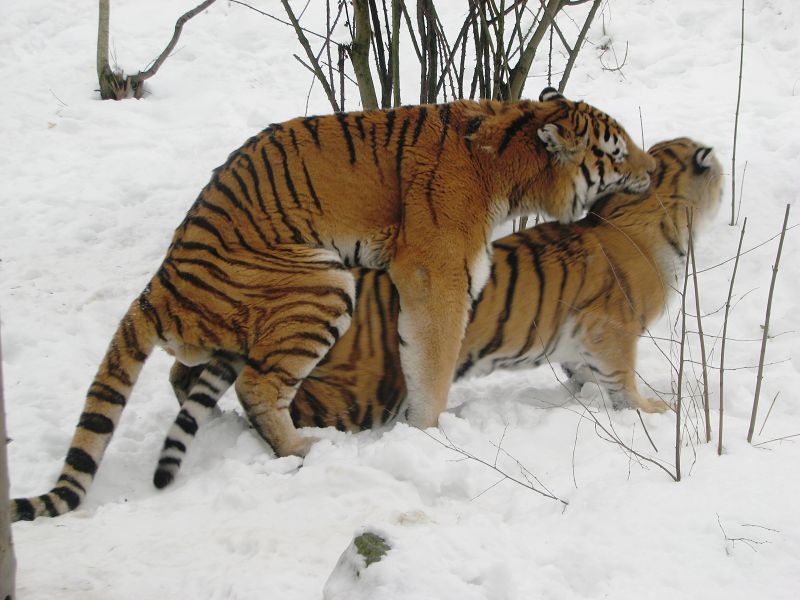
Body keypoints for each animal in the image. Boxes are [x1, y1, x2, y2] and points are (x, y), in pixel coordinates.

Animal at [11, 88, 654, 521]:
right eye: (617, 153)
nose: (651, 168)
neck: (507, 153)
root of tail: (161, 281)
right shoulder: (437, 276)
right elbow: (433, 364)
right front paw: (431, 434)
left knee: (186, 374)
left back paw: (222, 425)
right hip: (321, 284)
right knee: (257, 385)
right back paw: (299, 447)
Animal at [167, 137, 722, 450]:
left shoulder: (580, 338)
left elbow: (584, 372)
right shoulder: (613, 328)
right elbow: (622, 379)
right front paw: (653, 410)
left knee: (191, 377)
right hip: (363, 391)